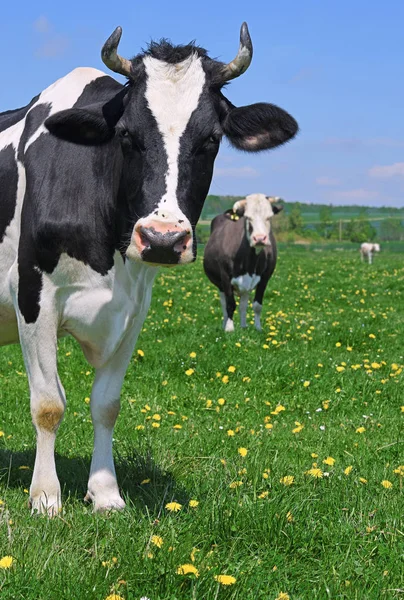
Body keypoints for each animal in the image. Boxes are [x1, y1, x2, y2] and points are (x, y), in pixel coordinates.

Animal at [204, 193, 282, 332]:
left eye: (269, 217)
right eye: (247, 217)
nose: (260, 238)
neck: (250, 263)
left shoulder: (265, 278)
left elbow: (257, 305)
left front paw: (258, 328)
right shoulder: (225, 276)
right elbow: (230, 304)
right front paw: (229, 328)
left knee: (243, 304)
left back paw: (244, 326)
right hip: (220, 284)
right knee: (224, 304)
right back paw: (225, 324)